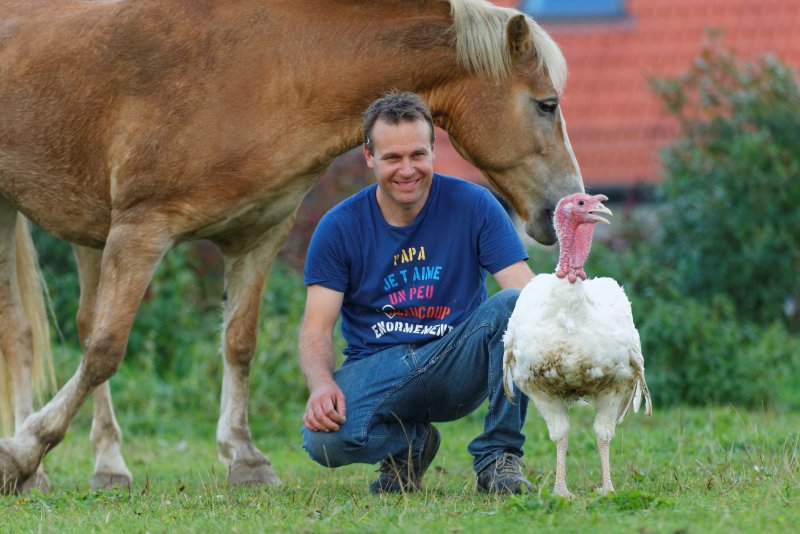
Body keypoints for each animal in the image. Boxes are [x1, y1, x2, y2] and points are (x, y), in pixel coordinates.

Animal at [3, 0, 584, 494]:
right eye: (546, 104)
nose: (564, 204)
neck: (267, 66)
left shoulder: (258, 235)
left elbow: (239, 343)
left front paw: (244, 457)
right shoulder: (140, 229)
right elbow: (105, 349)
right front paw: (23, 453)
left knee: (52, 329)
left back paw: (106, 466)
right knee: (31, 335)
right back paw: (42, 467)